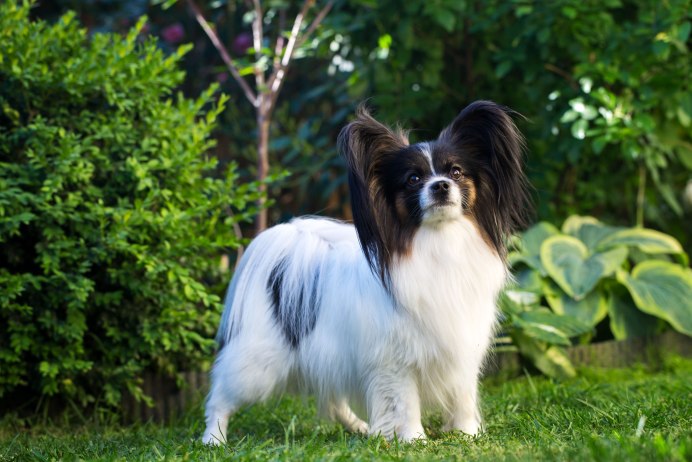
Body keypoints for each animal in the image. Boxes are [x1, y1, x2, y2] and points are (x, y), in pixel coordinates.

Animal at [202, 101, 529, 444]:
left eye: (456, 172)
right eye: (413, 178)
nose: (440, 185)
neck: (440, 244)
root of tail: (286, 243)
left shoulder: (462, 347)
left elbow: (462, 396)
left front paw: (467, 434)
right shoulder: (395, 360)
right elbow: (404, 402)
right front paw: (413, 439)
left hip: (325, 354)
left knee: (333, 400)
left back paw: (359, 427)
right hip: (259, 361)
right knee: (220, 396)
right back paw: (213, 439)